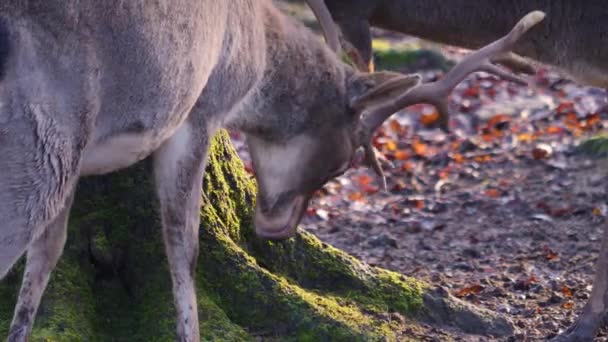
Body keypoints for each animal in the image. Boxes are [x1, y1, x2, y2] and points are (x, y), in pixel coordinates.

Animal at [0, 1, 544, 340]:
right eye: (345, 160)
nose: (278, 229)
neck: (256, 47)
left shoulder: (81, 160)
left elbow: (48, 255)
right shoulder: (201, 109)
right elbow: (183, 246)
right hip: (41, 141)